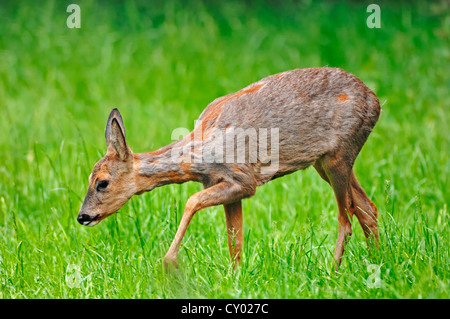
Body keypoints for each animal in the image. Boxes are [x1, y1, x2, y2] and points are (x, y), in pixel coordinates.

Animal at [77, 69, 380, 272]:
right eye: (89, 178)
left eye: (102, 182)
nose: (82, 216)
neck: (200, 152)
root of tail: (375, 101)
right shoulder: (228, 188)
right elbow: (235, 242)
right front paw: (235, 278)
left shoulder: (243, 179)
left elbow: (192, 201)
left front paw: (169, 262)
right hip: (325, 161)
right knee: (367, 208)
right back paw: (376, 261)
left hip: (339, 155)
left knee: (346, 218)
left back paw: (332, 271)